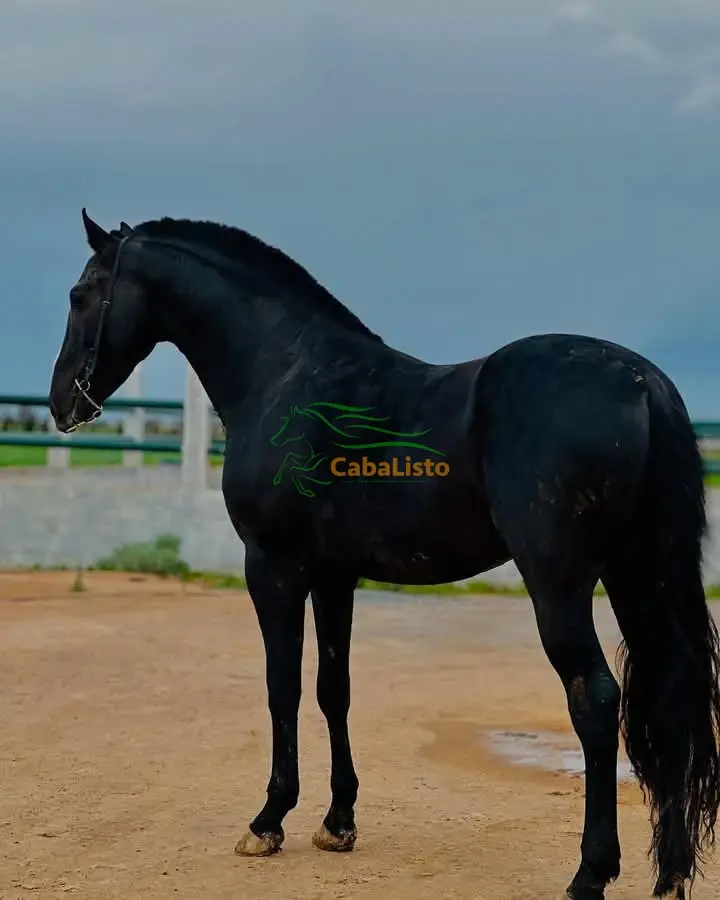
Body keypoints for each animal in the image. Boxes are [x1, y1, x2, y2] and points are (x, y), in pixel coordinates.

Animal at [48, 208, 720, 899]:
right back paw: (669, 872)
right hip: (635, 575)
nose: (60, 403)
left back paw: (591, 872)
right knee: (668, 700)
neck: (285, 372)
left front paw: (268, 821)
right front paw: (337, 821)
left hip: (559, 585)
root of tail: (642, 383)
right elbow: (332, 688)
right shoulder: (334, 576)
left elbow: (282, 687)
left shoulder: (273, 567)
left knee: (597, 700)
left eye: (80, 295)